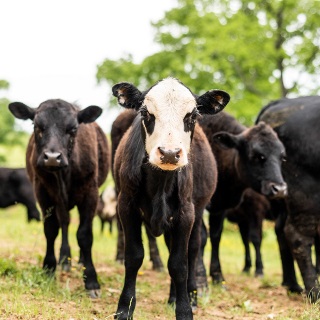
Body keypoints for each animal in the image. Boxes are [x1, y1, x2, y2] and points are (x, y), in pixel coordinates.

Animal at [8, 99, 109, 298]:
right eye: (37, 126)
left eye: (74, 129)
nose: (52, 157)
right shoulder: (43, 192)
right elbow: (51, 229)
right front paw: (49, 268)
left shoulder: (90, 193)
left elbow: (85, 234)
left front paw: (91, 280)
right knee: (64, 223)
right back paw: (65, 260)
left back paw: (80, 260)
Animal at [111, 77, 229, 320]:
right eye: (146, 113)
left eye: (192, 115)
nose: (169, 153)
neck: (160, 183)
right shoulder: (126, 206)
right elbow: (134, 257)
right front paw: (125, 308)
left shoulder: (186, 214)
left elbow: (179, 264)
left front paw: (184, 310)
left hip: (197, 213)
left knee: (192, 249)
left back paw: (189, 296)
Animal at [198, 112, 288, 284]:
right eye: (257, 156)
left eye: (282, 157)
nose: (279, 189)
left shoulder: (226, 208)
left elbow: (219, 236)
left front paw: (218, 276)